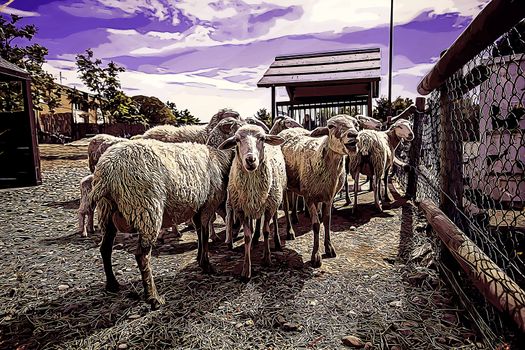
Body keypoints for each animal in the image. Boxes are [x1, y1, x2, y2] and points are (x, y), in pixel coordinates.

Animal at [89, 139, 232, 308]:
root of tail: (107, 172)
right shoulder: (208, 204)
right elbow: (204, 234)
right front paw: (206, 265)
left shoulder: (197, 207)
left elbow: (199, 233)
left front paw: (199, 258)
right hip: (146, 210)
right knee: (142, 256)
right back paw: (153, 298)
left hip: (107, 212)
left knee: (105, 249)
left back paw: (112, 285)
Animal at [218, 124, 286, 280]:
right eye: (237, 140)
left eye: (262, 138)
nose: (251, 160)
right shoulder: (241, 209)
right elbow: (247, 236)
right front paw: (246, 269)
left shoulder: (269, 207)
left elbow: (266, 231)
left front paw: (267, 258)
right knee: (256, 220)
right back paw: (255, 240)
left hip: (275, 198)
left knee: (274, 219)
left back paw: (277, 241)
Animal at [278, 113, 360, 266]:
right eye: (331, 126)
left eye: (356, 124)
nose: (354, 134)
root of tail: (287, 131)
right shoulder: (309, 197)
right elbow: (316, 225)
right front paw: (315, 256)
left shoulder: (329, 197)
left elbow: (327, 221)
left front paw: (329, 248)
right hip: (285, 185)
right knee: (286, 207)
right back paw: (290, 231)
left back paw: (295, 217)